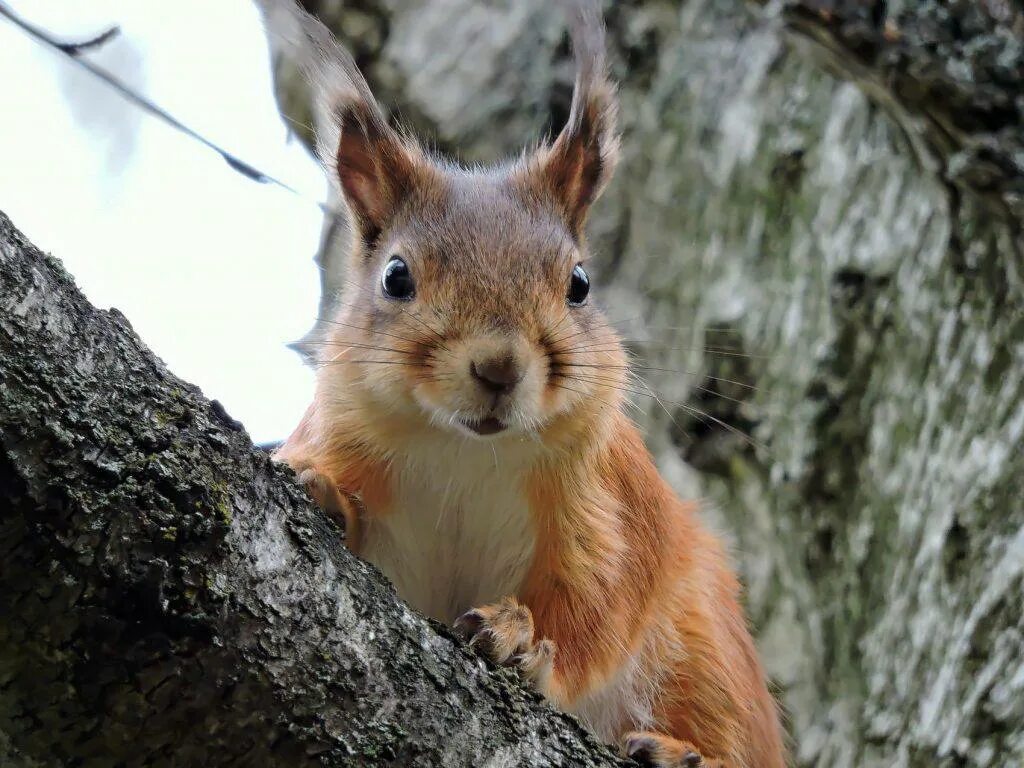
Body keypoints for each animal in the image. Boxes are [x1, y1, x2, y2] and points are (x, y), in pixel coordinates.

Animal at [272, 3, 782, 765]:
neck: (464, 452)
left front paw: (523, 642)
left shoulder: (608, 510)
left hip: (707, 657)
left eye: (580, 283)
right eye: (395, 276)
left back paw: (676, 751)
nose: (498, 367)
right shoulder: (340, 435)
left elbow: (597, 614)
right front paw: (324, 494)